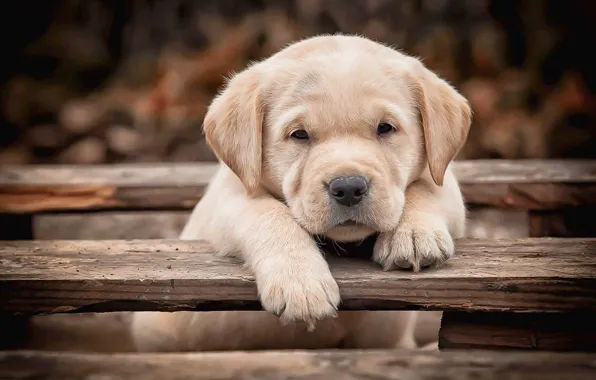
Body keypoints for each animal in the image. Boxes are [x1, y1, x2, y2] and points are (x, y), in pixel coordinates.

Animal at [130, 34, 470, 352]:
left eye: (385, 128)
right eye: (299, 135)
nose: (348, 187)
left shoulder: (443, 177)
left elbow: (428, 187)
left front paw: (413, 234)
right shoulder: (227, 197)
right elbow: (267, 214)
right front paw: (301, 283)